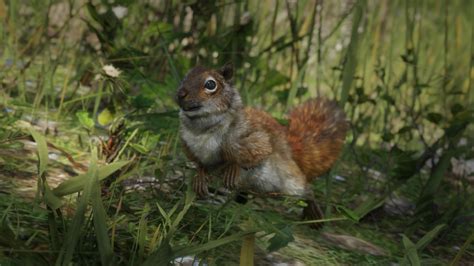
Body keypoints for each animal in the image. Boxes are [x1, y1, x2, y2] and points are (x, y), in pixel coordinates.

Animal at [176, 63, 346, 228]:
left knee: (306, 190)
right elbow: (199, 162)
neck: (201, 128)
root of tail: (289, 148)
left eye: (211, 84)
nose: (180, 94)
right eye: (185, 76)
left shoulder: (254, 138)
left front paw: (232, 167)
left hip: (289, 182)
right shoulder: (188, 144)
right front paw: (200, 176)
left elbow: (254, 154)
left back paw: (314, 213)